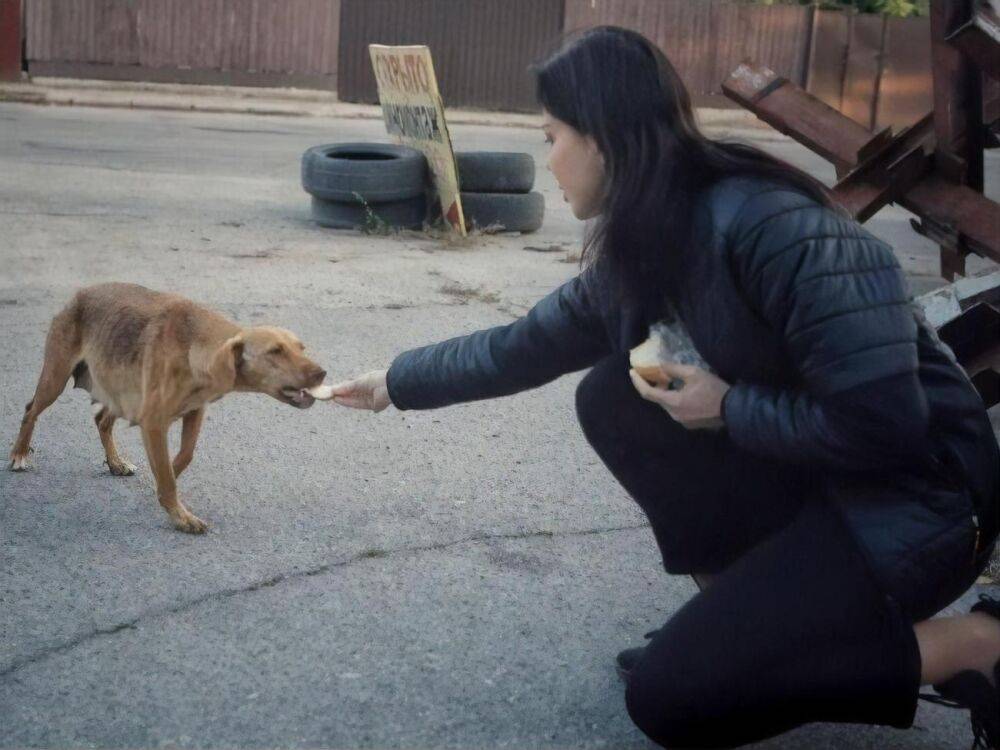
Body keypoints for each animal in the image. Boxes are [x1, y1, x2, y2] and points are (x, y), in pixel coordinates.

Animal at [8, 282, 328, 536]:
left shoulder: (194, 412)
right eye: (275, 352)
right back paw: (19, 454)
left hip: (124, 395)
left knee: (101, 419)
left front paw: (166, 483)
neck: (196, 345)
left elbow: (183, 457)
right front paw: (180, 514)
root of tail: (79, 293)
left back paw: (116, 462)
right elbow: (167, 472)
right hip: (55, 380)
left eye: (301, 348)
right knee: (30, 411)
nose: (322, 373)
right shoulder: (153, 423)